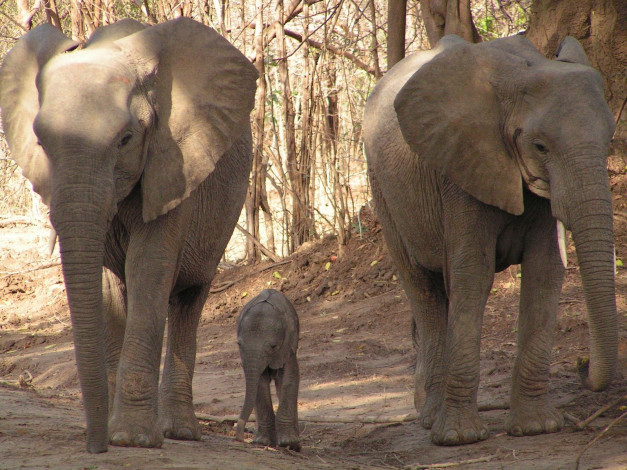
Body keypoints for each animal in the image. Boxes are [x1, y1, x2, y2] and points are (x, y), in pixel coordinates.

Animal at [0, 19, 258, 456]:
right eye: (40, 141)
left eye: (125, 139)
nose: (95, 447)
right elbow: (107, 283)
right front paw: (115, 434)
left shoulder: (174, 163)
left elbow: (149, 267)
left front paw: (133, 439)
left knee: (189, 298)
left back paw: (179, 432)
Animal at [237, 288, 302, 450]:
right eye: (239, 344)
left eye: (273, 346)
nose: (240, 438)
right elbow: (259, 385)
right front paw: (262, 442)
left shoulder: (288, 345)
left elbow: (289, 379)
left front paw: (287, 442)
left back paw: (295, 446)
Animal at [364, 35, 620, 446]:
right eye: (540, 147)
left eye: (609, 139)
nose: (582, 366)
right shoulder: (460, 168)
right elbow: (473, 275)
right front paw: (459, 438)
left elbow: (544, 272)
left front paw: (536, 428)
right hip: (383, 190)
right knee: (423, 288)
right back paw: (431, 418)